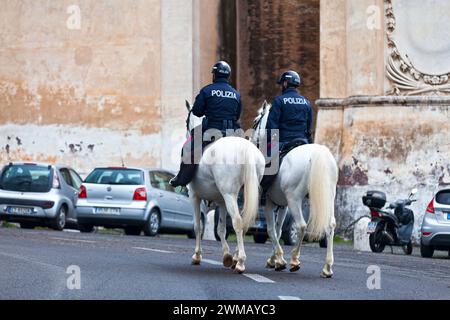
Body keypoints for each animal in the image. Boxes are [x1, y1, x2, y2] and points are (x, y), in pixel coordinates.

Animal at [184, 102, 266, 272]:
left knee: (238, 221)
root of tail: (246, 149)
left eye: (186, 122)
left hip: (229, 196)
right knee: (244, 222)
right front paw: (227, 256)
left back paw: (240, 261)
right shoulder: (221, 201)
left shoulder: (194, 196)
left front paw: (197, 255)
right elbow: (221, 228)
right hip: (241, 196)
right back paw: (236, 257)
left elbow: (197, 226)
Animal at [253, 102, 338, 278]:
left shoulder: (269, 204)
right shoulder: (283, 205)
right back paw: (327, 267)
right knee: (330, 226)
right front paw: (274, 260)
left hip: (294, 199)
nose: (250, 139)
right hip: (327, 198)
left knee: (301, 226)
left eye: (255, 121)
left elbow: (271, 230)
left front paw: (279, 260)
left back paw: (294, 260)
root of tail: (316, 153)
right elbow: (278, 231)